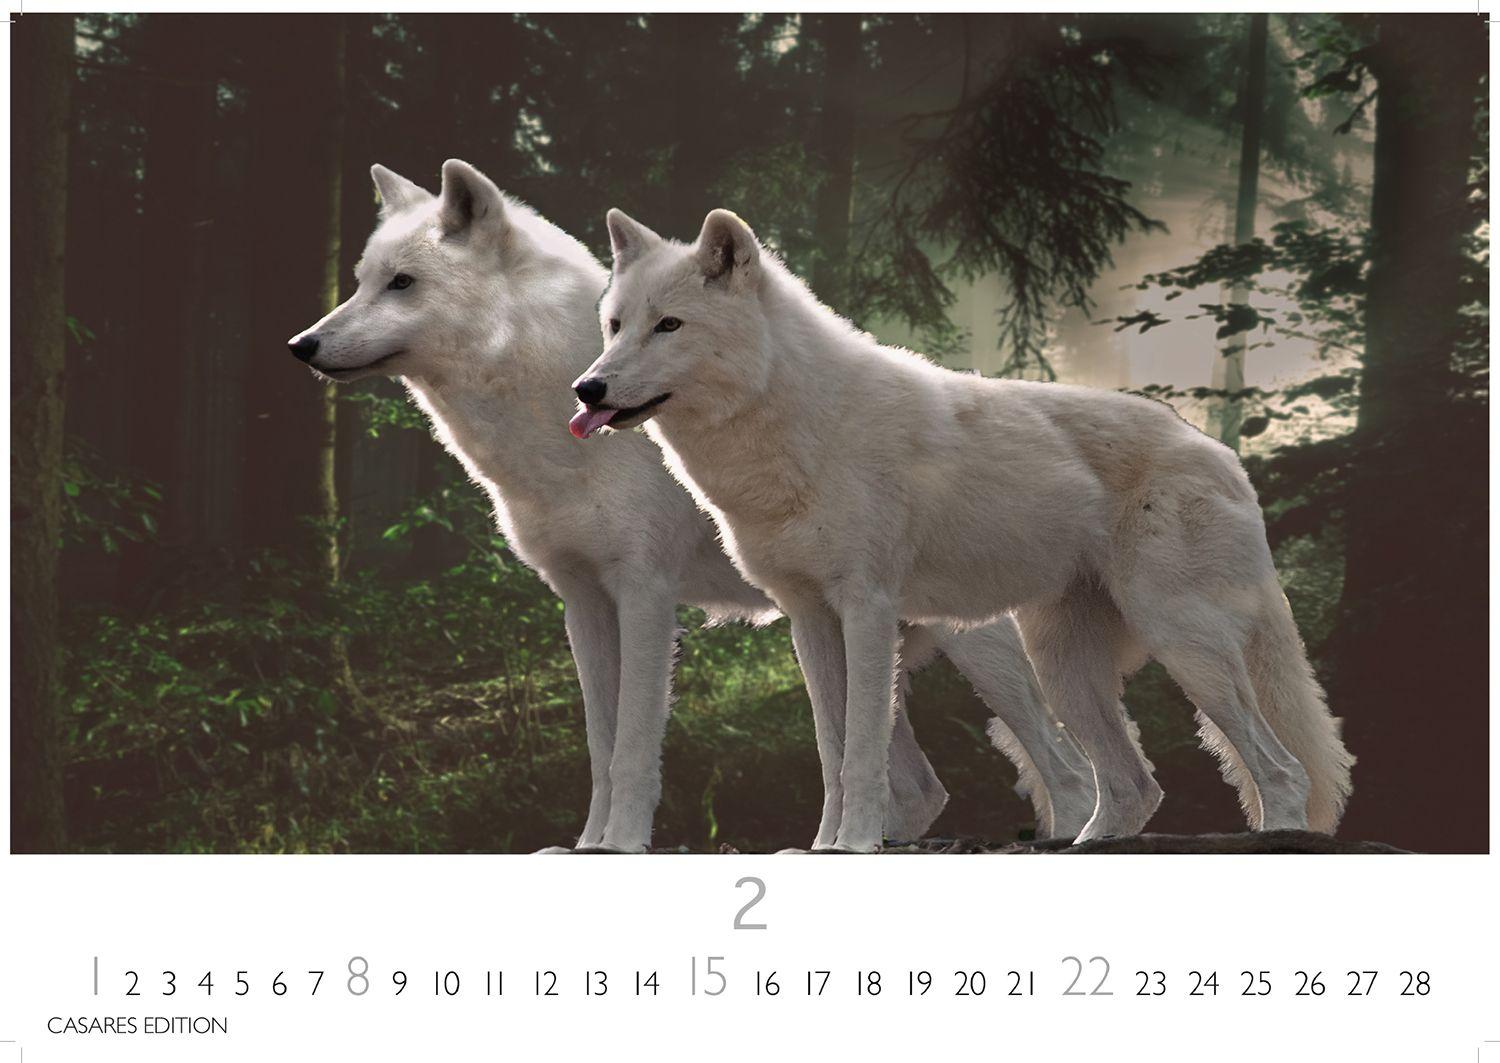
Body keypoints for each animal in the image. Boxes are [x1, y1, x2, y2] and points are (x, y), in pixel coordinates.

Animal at [286, 160, 1099, 852]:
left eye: (402, 283)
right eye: (360, 282)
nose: (302, 344)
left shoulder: (646, 594)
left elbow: (633, 748)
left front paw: (620, 845)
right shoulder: (581, 602)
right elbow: (599, 745)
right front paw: (587, 845)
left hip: (978, 649)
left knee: (1064, 771)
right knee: (922, 787)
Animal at [572, 206, 1355, 852]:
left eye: (669, 325)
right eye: (615, 325)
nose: (587, 388)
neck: (795, 431)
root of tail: (1221, 454)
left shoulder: (867, 607)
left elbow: (862, 754)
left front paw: (854, 846)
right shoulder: (808, 619)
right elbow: (831, 750)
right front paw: (822, 846)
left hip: (1182, 647)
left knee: (1279, 770)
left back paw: (1278, 832)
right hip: (1065, 670)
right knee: (1135, 786)